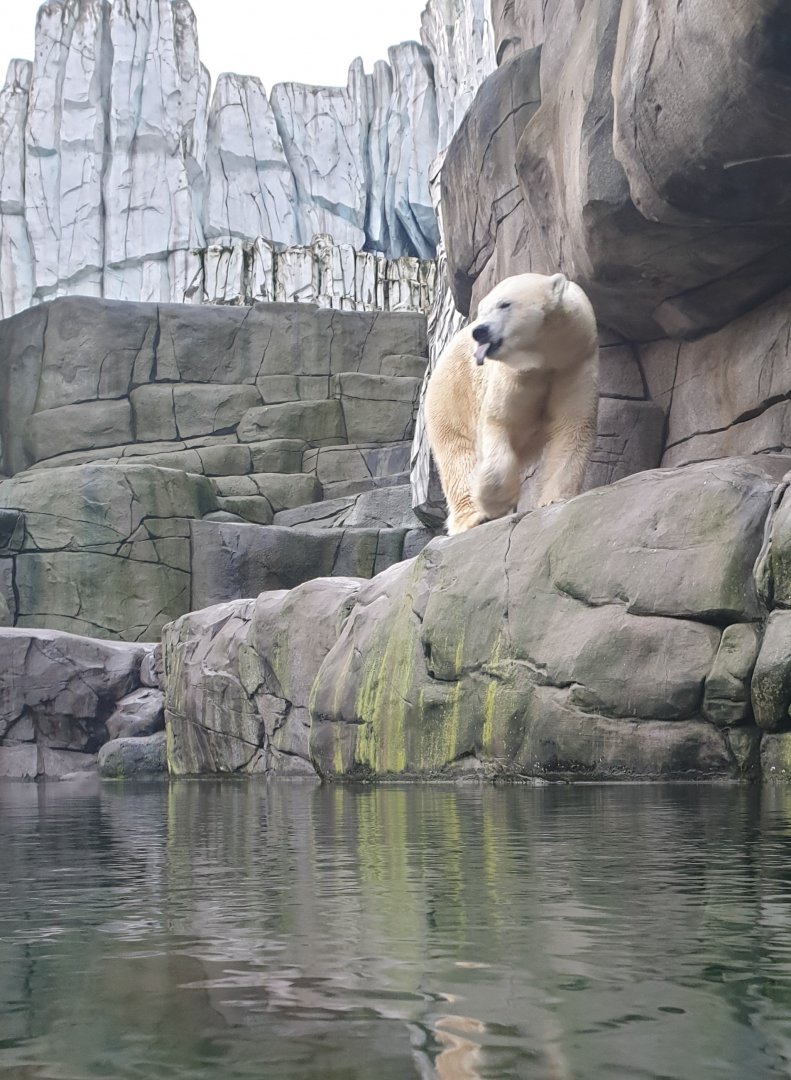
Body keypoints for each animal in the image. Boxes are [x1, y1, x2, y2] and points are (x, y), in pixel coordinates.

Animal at [425, 272, 599, 535]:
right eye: (482, 310)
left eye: (504, 304)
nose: (479, 331)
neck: (545, 359)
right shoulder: (512, 377)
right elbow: (498, 423)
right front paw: (494, 502)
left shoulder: (575, 364)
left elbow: (573, 426)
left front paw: (553, 499)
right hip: (450, 396)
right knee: (457, 455)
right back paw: (472, 517)